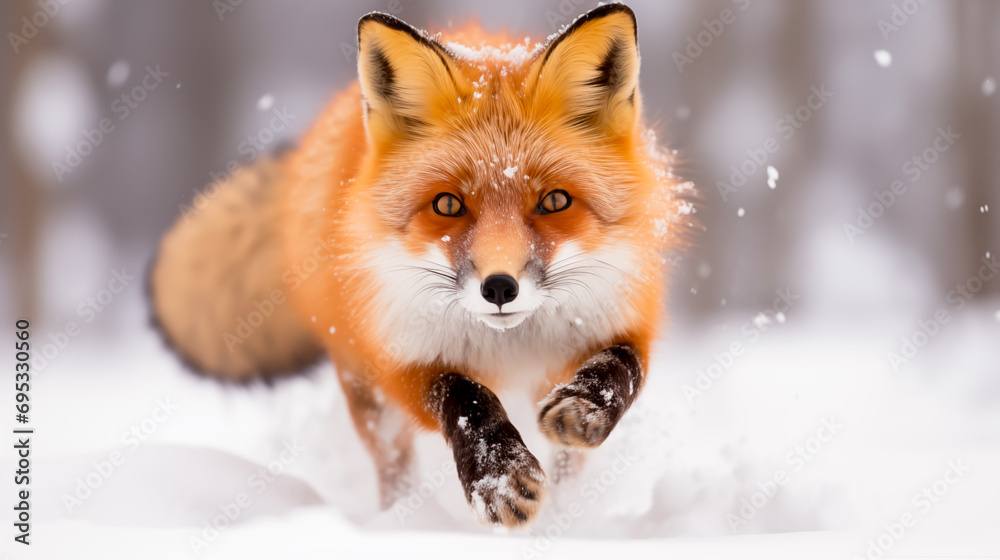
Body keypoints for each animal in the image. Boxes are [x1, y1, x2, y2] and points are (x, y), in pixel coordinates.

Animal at [150, 3, 693, 527]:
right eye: (448, 205)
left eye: (555, 201)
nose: (500, 288)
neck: (509, 345)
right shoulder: (400, 356)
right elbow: (466, 397)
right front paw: (499, 478)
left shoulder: (619, 319)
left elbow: (621, 367)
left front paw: (585, 406)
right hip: (368, 395)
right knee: (394, 469)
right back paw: (403, 523)